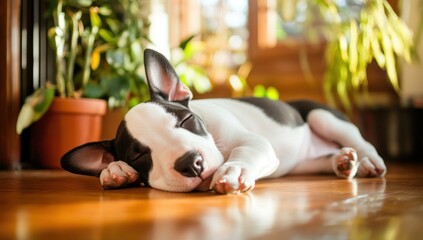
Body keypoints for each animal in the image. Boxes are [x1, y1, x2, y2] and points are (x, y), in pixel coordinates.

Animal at [61, 48, 390, 193]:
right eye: (139, 155)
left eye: (186, 120)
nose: (191, 163)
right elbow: (113, 171)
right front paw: (115, 171)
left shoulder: (254, 143)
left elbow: (243, 152)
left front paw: (234, 170)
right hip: (300, 164)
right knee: (322, 159)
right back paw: (342, 162)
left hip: (323, 117)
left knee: (359, 140)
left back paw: (367, 160)